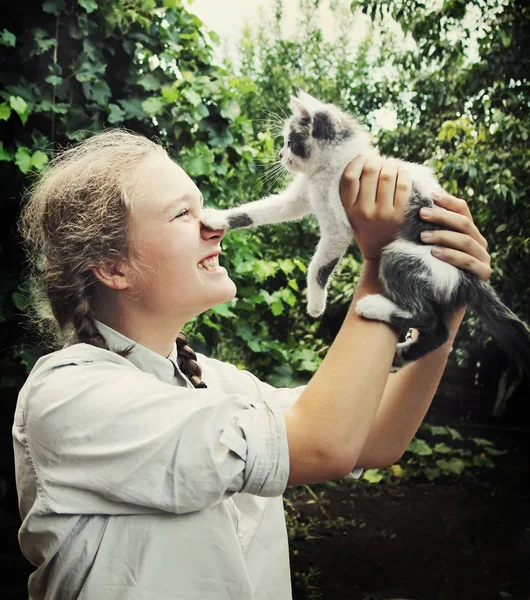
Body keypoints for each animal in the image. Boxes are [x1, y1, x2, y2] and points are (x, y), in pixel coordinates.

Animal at [201, 90, 528, 370]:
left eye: (291, 141)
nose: (281, 156)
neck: (331, 168)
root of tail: (468, 277)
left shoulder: (338, 225)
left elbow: (319, 266)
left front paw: (316, 303)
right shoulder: (304, 195)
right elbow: (264, 210)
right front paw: (217, 218)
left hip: (405, 255)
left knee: (426, 315)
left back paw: (374, 308)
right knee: (440, 332)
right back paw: (406, 352)